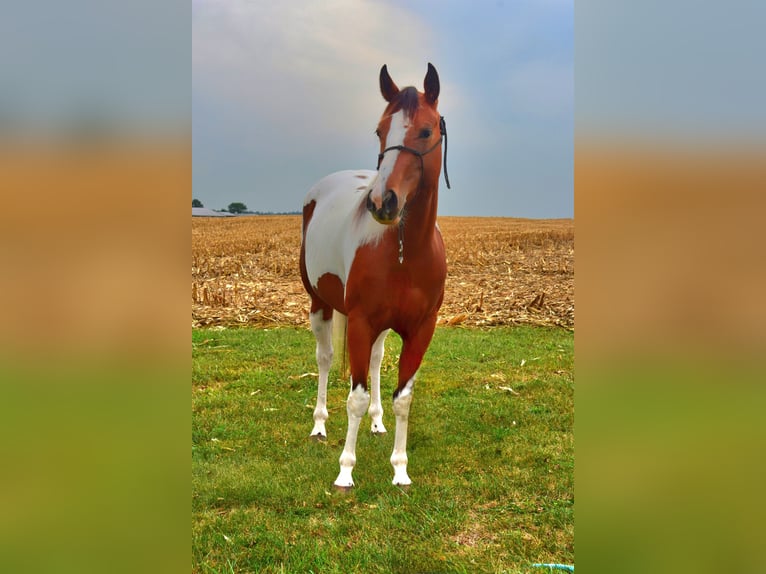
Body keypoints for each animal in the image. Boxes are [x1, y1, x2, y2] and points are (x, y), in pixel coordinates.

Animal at [299, 63, 450, 489]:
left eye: (426, 131)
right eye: (380, 130)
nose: (383, 202)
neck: (404, 252)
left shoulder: (420, 329)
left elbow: (403, 398)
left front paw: (400, 469)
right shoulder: (362, 321)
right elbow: (356, 397)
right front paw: (345, 471)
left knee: (378, 361)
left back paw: (378, 423)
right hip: (320, 304)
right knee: (325, 358)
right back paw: (319, 426)